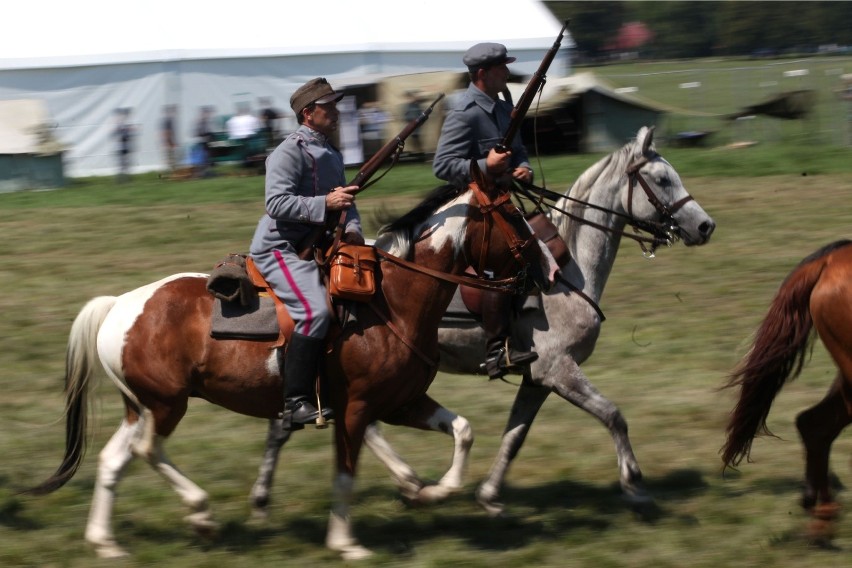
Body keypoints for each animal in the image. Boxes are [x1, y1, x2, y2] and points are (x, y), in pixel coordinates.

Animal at [25, 179, 560, 560]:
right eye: (513, 215)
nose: (549, 269)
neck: (391, 300)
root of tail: (118, 305)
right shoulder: (356, 409)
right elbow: (345, 472)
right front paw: (346, 542)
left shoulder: (402, 402)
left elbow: (463, 430)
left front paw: (434, 492)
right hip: (165, 405)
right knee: (146, 450)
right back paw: (200, 513)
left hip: (140, 406)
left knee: (114, 459)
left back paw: (106, 541)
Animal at [248, 126, 720, 516]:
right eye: (662, 180)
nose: (705, 226)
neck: (568, 270)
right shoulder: (559, 371)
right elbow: (613, 415)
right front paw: (635, 486)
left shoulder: (538, 378)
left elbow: (515, 436)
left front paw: (490, 495)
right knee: (324, 422)